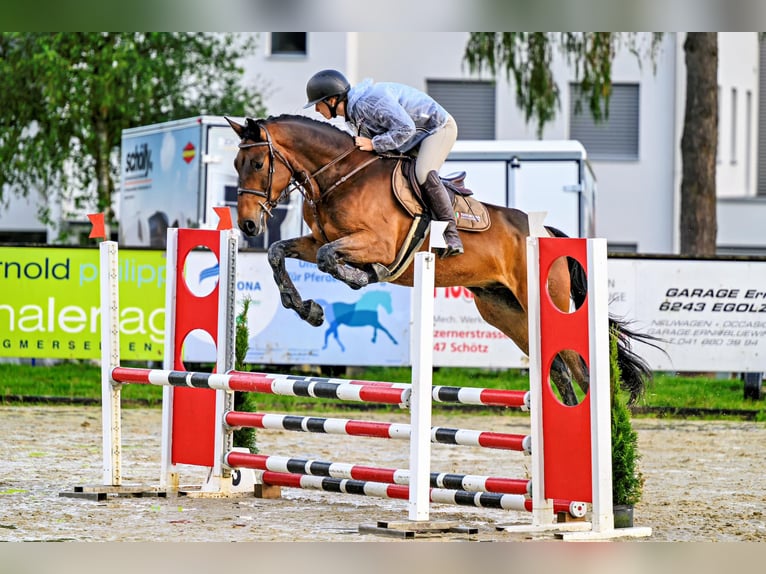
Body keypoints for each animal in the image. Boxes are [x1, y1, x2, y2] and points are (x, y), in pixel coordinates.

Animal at [228, 115, 656, 408]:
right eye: (236, 166)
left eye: (258, 165)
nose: (247, 224)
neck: (339, 176)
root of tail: (546, 233)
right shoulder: (317, 237)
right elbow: (279, 251)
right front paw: (307, 309)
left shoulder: (376, 244)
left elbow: (328, 259)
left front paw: (360, 278)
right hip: (507, 312)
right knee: (562, 374)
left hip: (544, 303)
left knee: (580, 372)